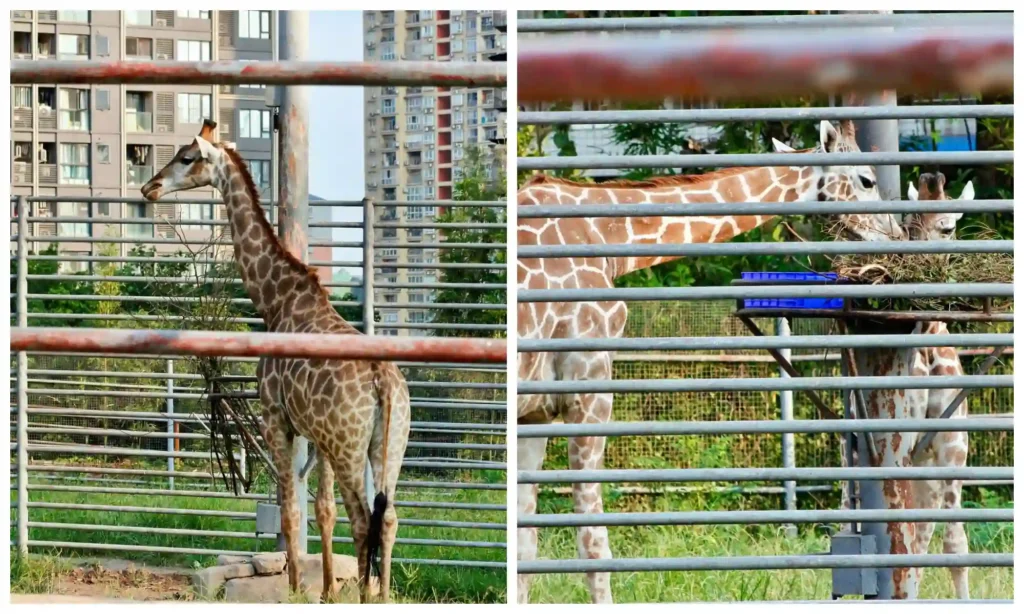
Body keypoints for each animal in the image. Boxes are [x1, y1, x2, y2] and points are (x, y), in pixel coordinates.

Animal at [141, 120, 410, 603]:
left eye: (187, 158)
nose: (149, 187)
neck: (275, 299)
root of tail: (383, 381)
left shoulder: (276, 418)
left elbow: (289, 511)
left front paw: (299, 590)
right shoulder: (318, 436)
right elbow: (322, 511)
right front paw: (326, 592)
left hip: (349, 447)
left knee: (365, 521)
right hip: (388, 444)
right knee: (389, 518)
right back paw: (382, 596)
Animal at [518, 120, 881, 604]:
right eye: (867, 180)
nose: (895, 236)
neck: (609, 239)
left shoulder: (537, 410)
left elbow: (527, 545)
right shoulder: (587, 387)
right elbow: (592, 541)